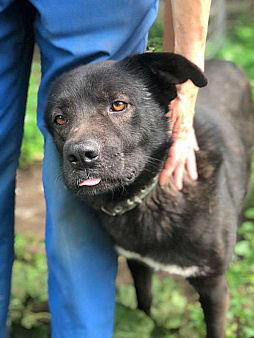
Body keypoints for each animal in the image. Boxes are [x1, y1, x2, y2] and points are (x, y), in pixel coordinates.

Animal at [44, 53, 253, 338]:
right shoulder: (138, 264)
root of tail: (227, 62)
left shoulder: (214, 287)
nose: (79, 156)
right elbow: (144, 304)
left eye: (118, 104)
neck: (146, 197)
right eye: (60, 119)